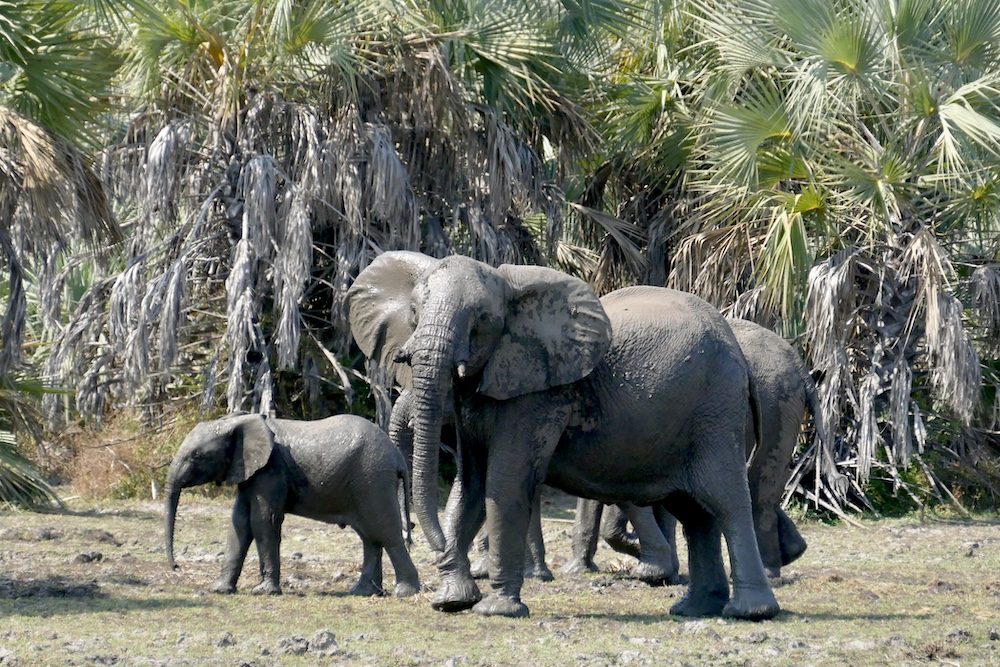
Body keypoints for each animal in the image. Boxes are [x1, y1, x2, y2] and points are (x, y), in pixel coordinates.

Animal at [163, 414, 418, 596]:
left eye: (197, 456)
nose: (176, 567)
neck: (236, 421)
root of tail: (397, 457)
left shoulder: (270, 471)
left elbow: (262, 522)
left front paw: (263, 592)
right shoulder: (249, 472)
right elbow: (239, 524)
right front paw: (220, 590)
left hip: (372, 479)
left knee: (386, 533)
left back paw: (405, 592)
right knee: (370, 537)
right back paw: (362, 592)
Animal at [348, 252, 776, 620]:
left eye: (482, 318)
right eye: (414, 312)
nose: (432, 547)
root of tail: (739, 350)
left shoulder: (538, 392)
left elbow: (502, 483)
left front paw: (496, 609)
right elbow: (470, 487)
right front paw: (452, 602)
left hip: (715, 410)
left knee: (724, 500)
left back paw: (749, 612)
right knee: (694, 512)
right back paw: (694, 608)